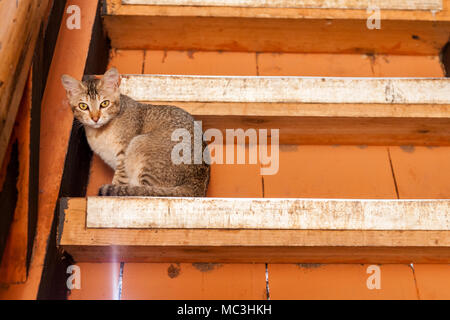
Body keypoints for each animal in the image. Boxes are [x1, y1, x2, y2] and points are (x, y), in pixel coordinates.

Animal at [60, 68, 210, 196]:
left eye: (104, 103)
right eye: (83, 106)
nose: (95, 118)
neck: (100, 132)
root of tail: (197, 185)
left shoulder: (123, 152)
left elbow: (120, 178)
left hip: (140, 143)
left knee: (145, 190)